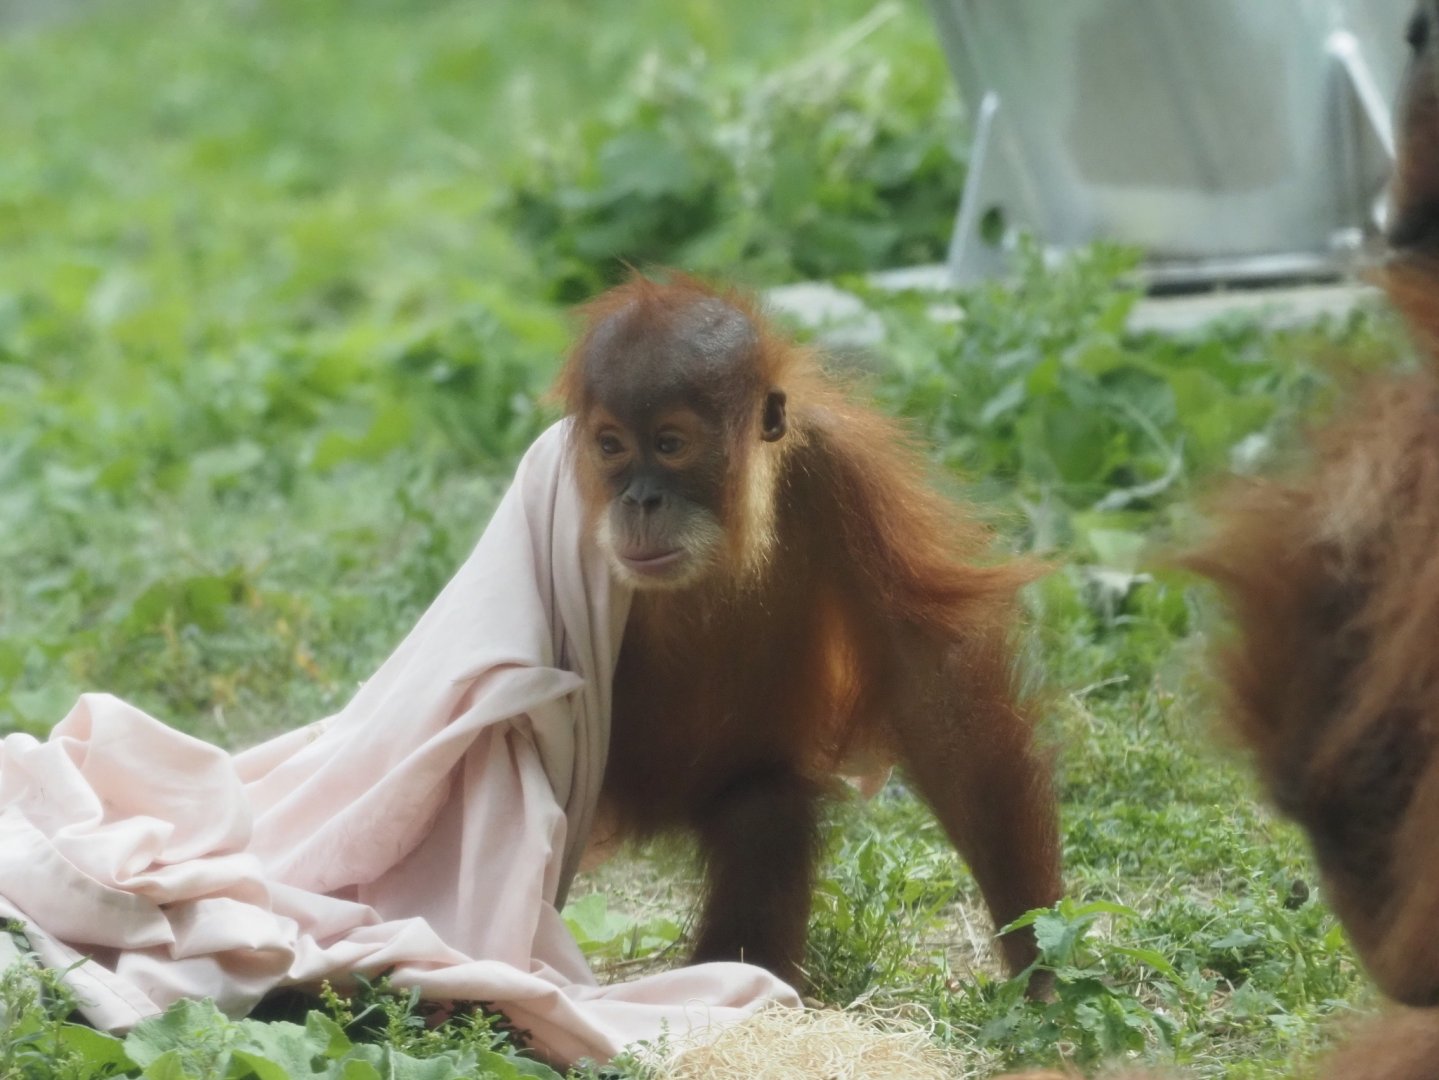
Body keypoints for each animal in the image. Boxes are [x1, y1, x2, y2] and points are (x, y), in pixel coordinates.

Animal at [555, 273, 1062, 990]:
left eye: (670, 444)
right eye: (611, 446)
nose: (639, 500)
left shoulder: (841, 465)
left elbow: (927, 679)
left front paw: (1035, 957)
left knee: (765, 816)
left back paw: (741, 976)